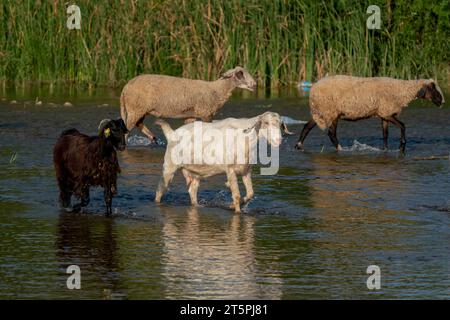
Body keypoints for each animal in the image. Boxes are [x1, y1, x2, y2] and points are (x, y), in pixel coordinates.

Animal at [119, 66, 256, 142]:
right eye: (240, 74)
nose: (254, 85)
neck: (216, 90)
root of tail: (125, 88)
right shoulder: (206, 113)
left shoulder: (191, 116)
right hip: (135, 109)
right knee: (127, 130)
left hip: (140, 109)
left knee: (139, 124)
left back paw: (154, 138)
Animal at [153, 111, 284, 214]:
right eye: (266, 123)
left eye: (280, 125)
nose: (278, 140)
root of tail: (171, 133)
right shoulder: (230, 169)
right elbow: (236, 195)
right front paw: (237, 211)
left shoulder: (246, 170)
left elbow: (251, 193)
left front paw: (233, 205)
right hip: (169, 166)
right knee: (160, 189)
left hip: (195, 172)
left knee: (192, 191)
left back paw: (198, 205)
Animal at [296, 76, 446, 154]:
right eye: (434, 89)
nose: (443, 102)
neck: (401, 91)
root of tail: (313, 89)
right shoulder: (387, 112)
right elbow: (403, 126)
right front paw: (402, 145)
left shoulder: (384, 114)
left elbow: (385, 134)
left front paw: (385, 149)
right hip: (329, 111)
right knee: (331, 133)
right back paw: (341, 149)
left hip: (324, 111)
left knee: (307, 126)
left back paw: (299, 146)